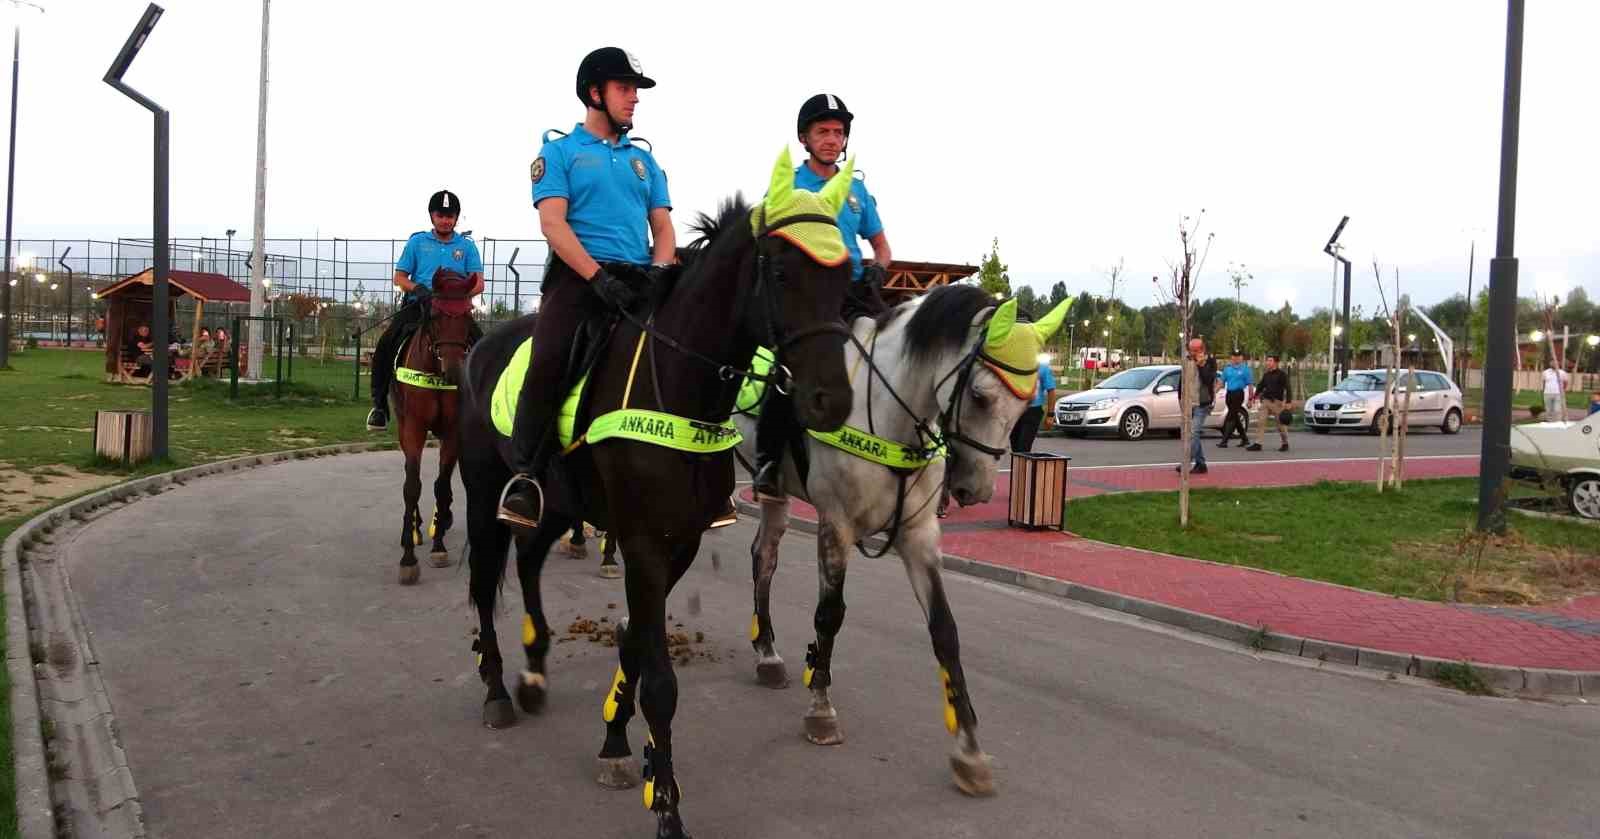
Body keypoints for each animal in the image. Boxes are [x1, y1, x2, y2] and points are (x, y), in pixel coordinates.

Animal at [388, 272, 473, 586]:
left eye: (468, 314)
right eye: (435, 314)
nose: (454, 371)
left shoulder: (453, 432)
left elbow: (442, 486)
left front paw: (439, 546)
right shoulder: (413, 428)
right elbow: (412, 487)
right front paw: (408, 559)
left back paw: (440, 523)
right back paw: (413, 529)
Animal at [457, 152, 857, 839]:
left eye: (845, 273)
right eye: (780, 269)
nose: (831, 400)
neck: (677, 381)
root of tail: (484, 344)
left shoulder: (681, 543)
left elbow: (636, 645)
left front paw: (618, 745)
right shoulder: (643, 542)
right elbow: (661, 682)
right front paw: (667, 804)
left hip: (557, 504)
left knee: (529, 562)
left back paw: (533, 670)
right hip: (485, 497)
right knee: (487, 586)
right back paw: (498, 691)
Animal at [732, 285, 1062, 797]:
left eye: (1026, 402)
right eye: (980, 396)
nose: (975, 489)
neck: (886, 416)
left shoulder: (919, 535)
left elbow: (944, 630)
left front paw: (969, 750)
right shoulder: (836, 523)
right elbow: (829, 616)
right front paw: (821, 709)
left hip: (776, 496)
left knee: (762, 558)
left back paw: (767, 654)